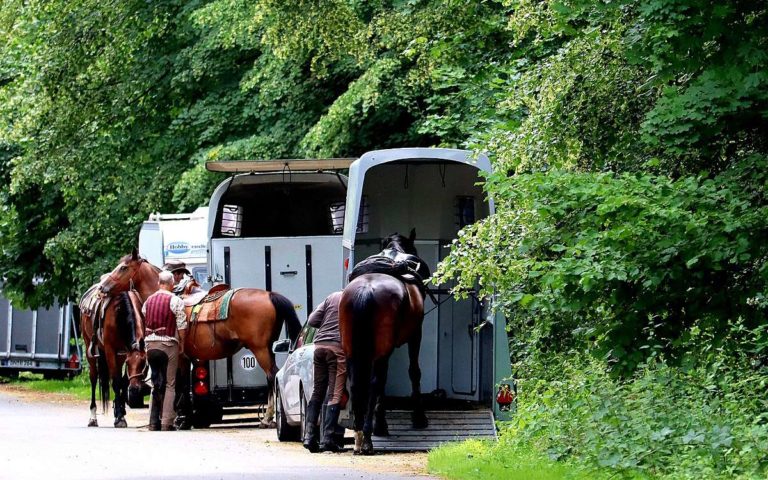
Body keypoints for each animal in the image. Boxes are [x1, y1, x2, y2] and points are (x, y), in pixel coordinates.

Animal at [79, 284, 147, 428]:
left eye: (144, 363)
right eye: (129, 363)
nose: (135, 389)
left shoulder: (124, 353)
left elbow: (123, 382)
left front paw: (120, 412)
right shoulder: (111, 350)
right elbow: (115, 381)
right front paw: (120, 418)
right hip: (90, 350)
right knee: (94, 378)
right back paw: (93, 418)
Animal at [100, 249, 304, 426]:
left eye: (123, 267)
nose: (102, 287)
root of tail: (270, 295)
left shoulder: (179, 356)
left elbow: (180, 385)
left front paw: (181, 418)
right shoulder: (187, 357)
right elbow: (182, 385)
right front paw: (183, 417)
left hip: (260, 349)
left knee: (272, 375)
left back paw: (268, 418)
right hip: (269, 347)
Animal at [342, 231, 432, 456]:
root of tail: (366, 290)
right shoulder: (415, 334)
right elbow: (414, 372)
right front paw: (418, 417)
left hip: (352, 350)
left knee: (358, 384)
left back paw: (360, 435)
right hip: (382, 350)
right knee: (376, 382)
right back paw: (368, 437)